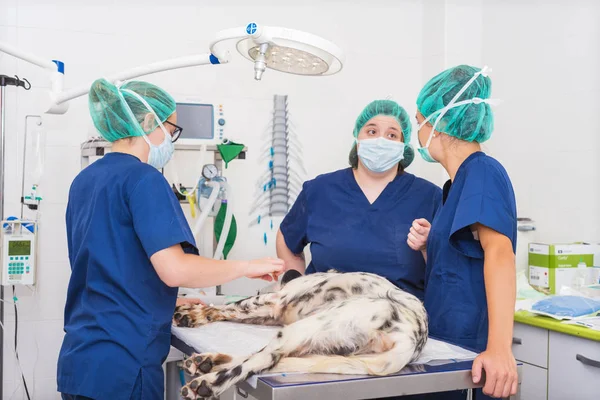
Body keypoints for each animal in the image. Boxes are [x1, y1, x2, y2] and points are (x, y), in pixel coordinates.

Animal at [171, 270, 428, 398]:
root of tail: (411, 338)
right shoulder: (272, 313)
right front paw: (193, 314)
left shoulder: (274, 301)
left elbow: (227, 306)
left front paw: (191, 313)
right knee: (265, 359)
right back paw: (207, 361)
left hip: (305, 328)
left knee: (261, 360)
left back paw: (207, 382)